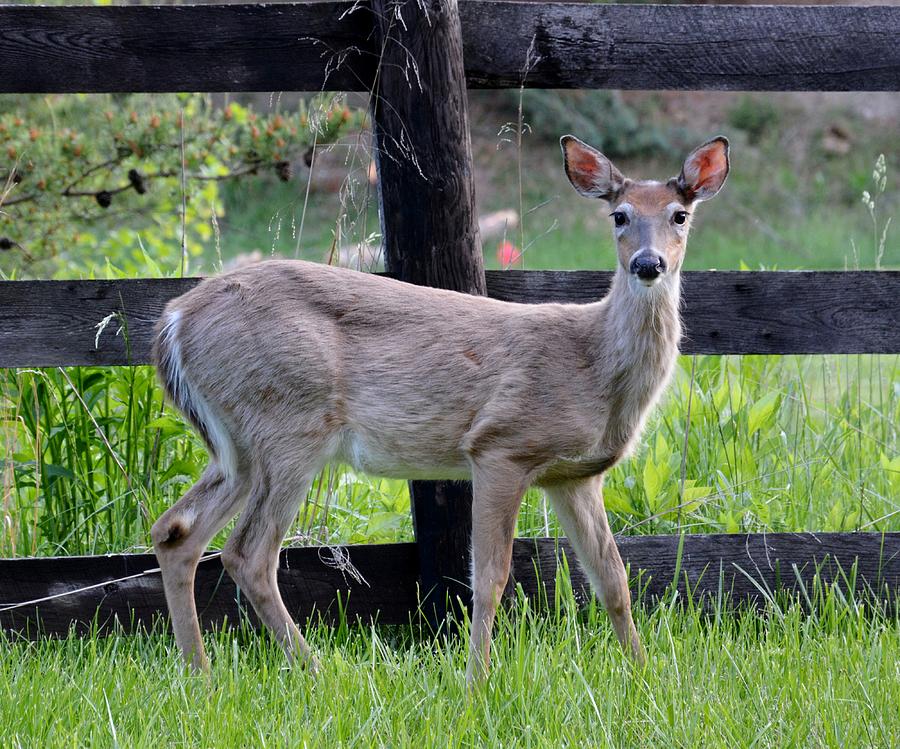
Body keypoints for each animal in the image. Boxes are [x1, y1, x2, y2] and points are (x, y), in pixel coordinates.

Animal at [151, 131, 728, 680]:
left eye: (679, 215)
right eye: (619, 215)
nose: (648, 263)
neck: (594, 366)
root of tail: (174, 320)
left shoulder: (573, 476)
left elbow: (613, 577)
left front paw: (644, 673)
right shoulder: (501, 445)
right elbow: (490, 578)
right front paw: (476, 681)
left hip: (238, 445)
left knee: (176, 532)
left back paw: (200, 674)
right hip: (288, 425)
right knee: (248, 553)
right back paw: (318, 672)